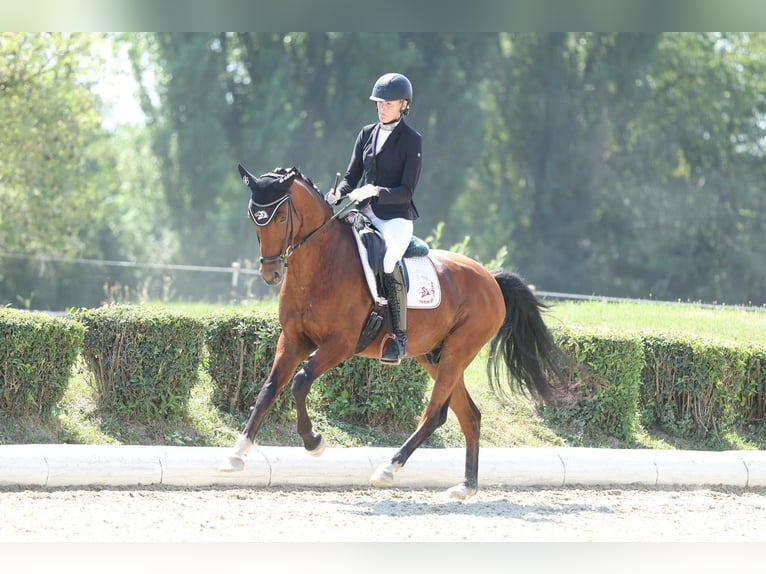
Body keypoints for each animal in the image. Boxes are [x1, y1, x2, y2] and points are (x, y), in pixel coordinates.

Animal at [219, 163, 572, 500]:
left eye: (280, 217)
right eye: (254, 218)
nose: (271, 273)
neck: (320, 263)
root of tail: (490, 279)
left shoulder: (340, 344)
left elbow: (300, 381)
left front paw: (314, 441)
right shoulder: (293, 340)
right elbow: (269, 389)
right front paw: (237, 454)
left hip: (458, 352)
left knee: (434, 414)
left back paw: (388, 468)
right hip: (435, 356)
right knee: (469, 415)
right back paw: (465, 487)